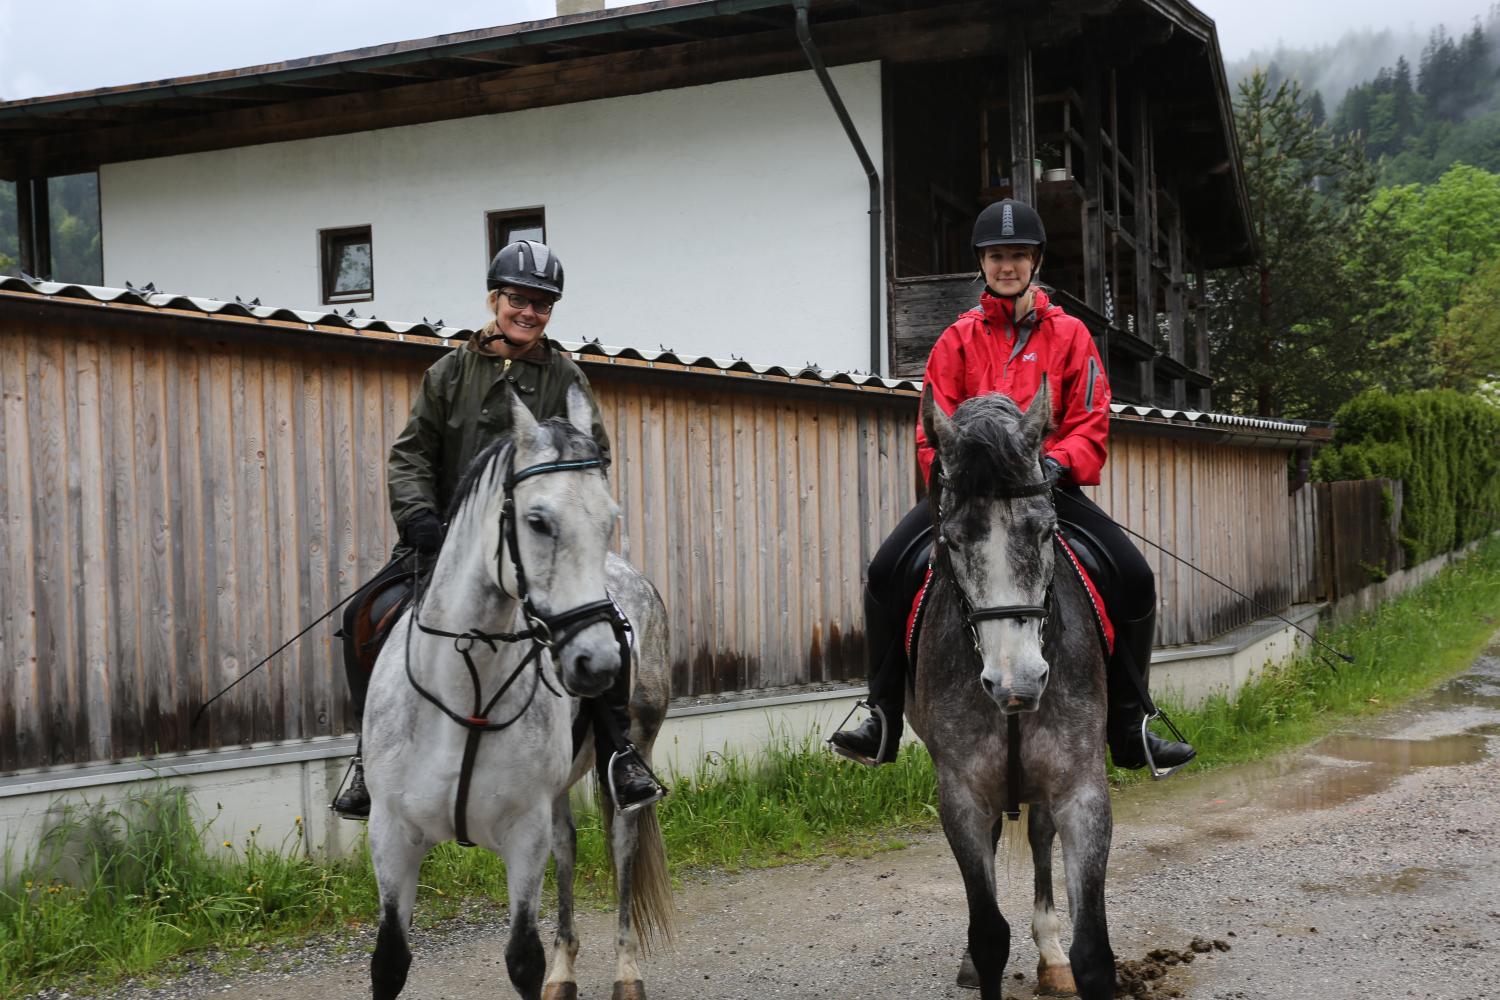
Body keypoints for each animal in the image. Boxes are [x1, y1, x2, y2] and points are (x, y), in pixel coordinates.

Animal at [906, 385, 1115, 1000]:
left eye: (1045, 530)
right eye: (952, 540)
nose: (1017, 684)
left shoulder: (1082, 790)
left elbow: (1093, 949)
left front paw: (1066, 955)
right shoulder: (961, 795)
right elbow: (989, 935)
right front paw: (979, 960)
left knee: (1041, 835)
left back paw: (1050, 954)